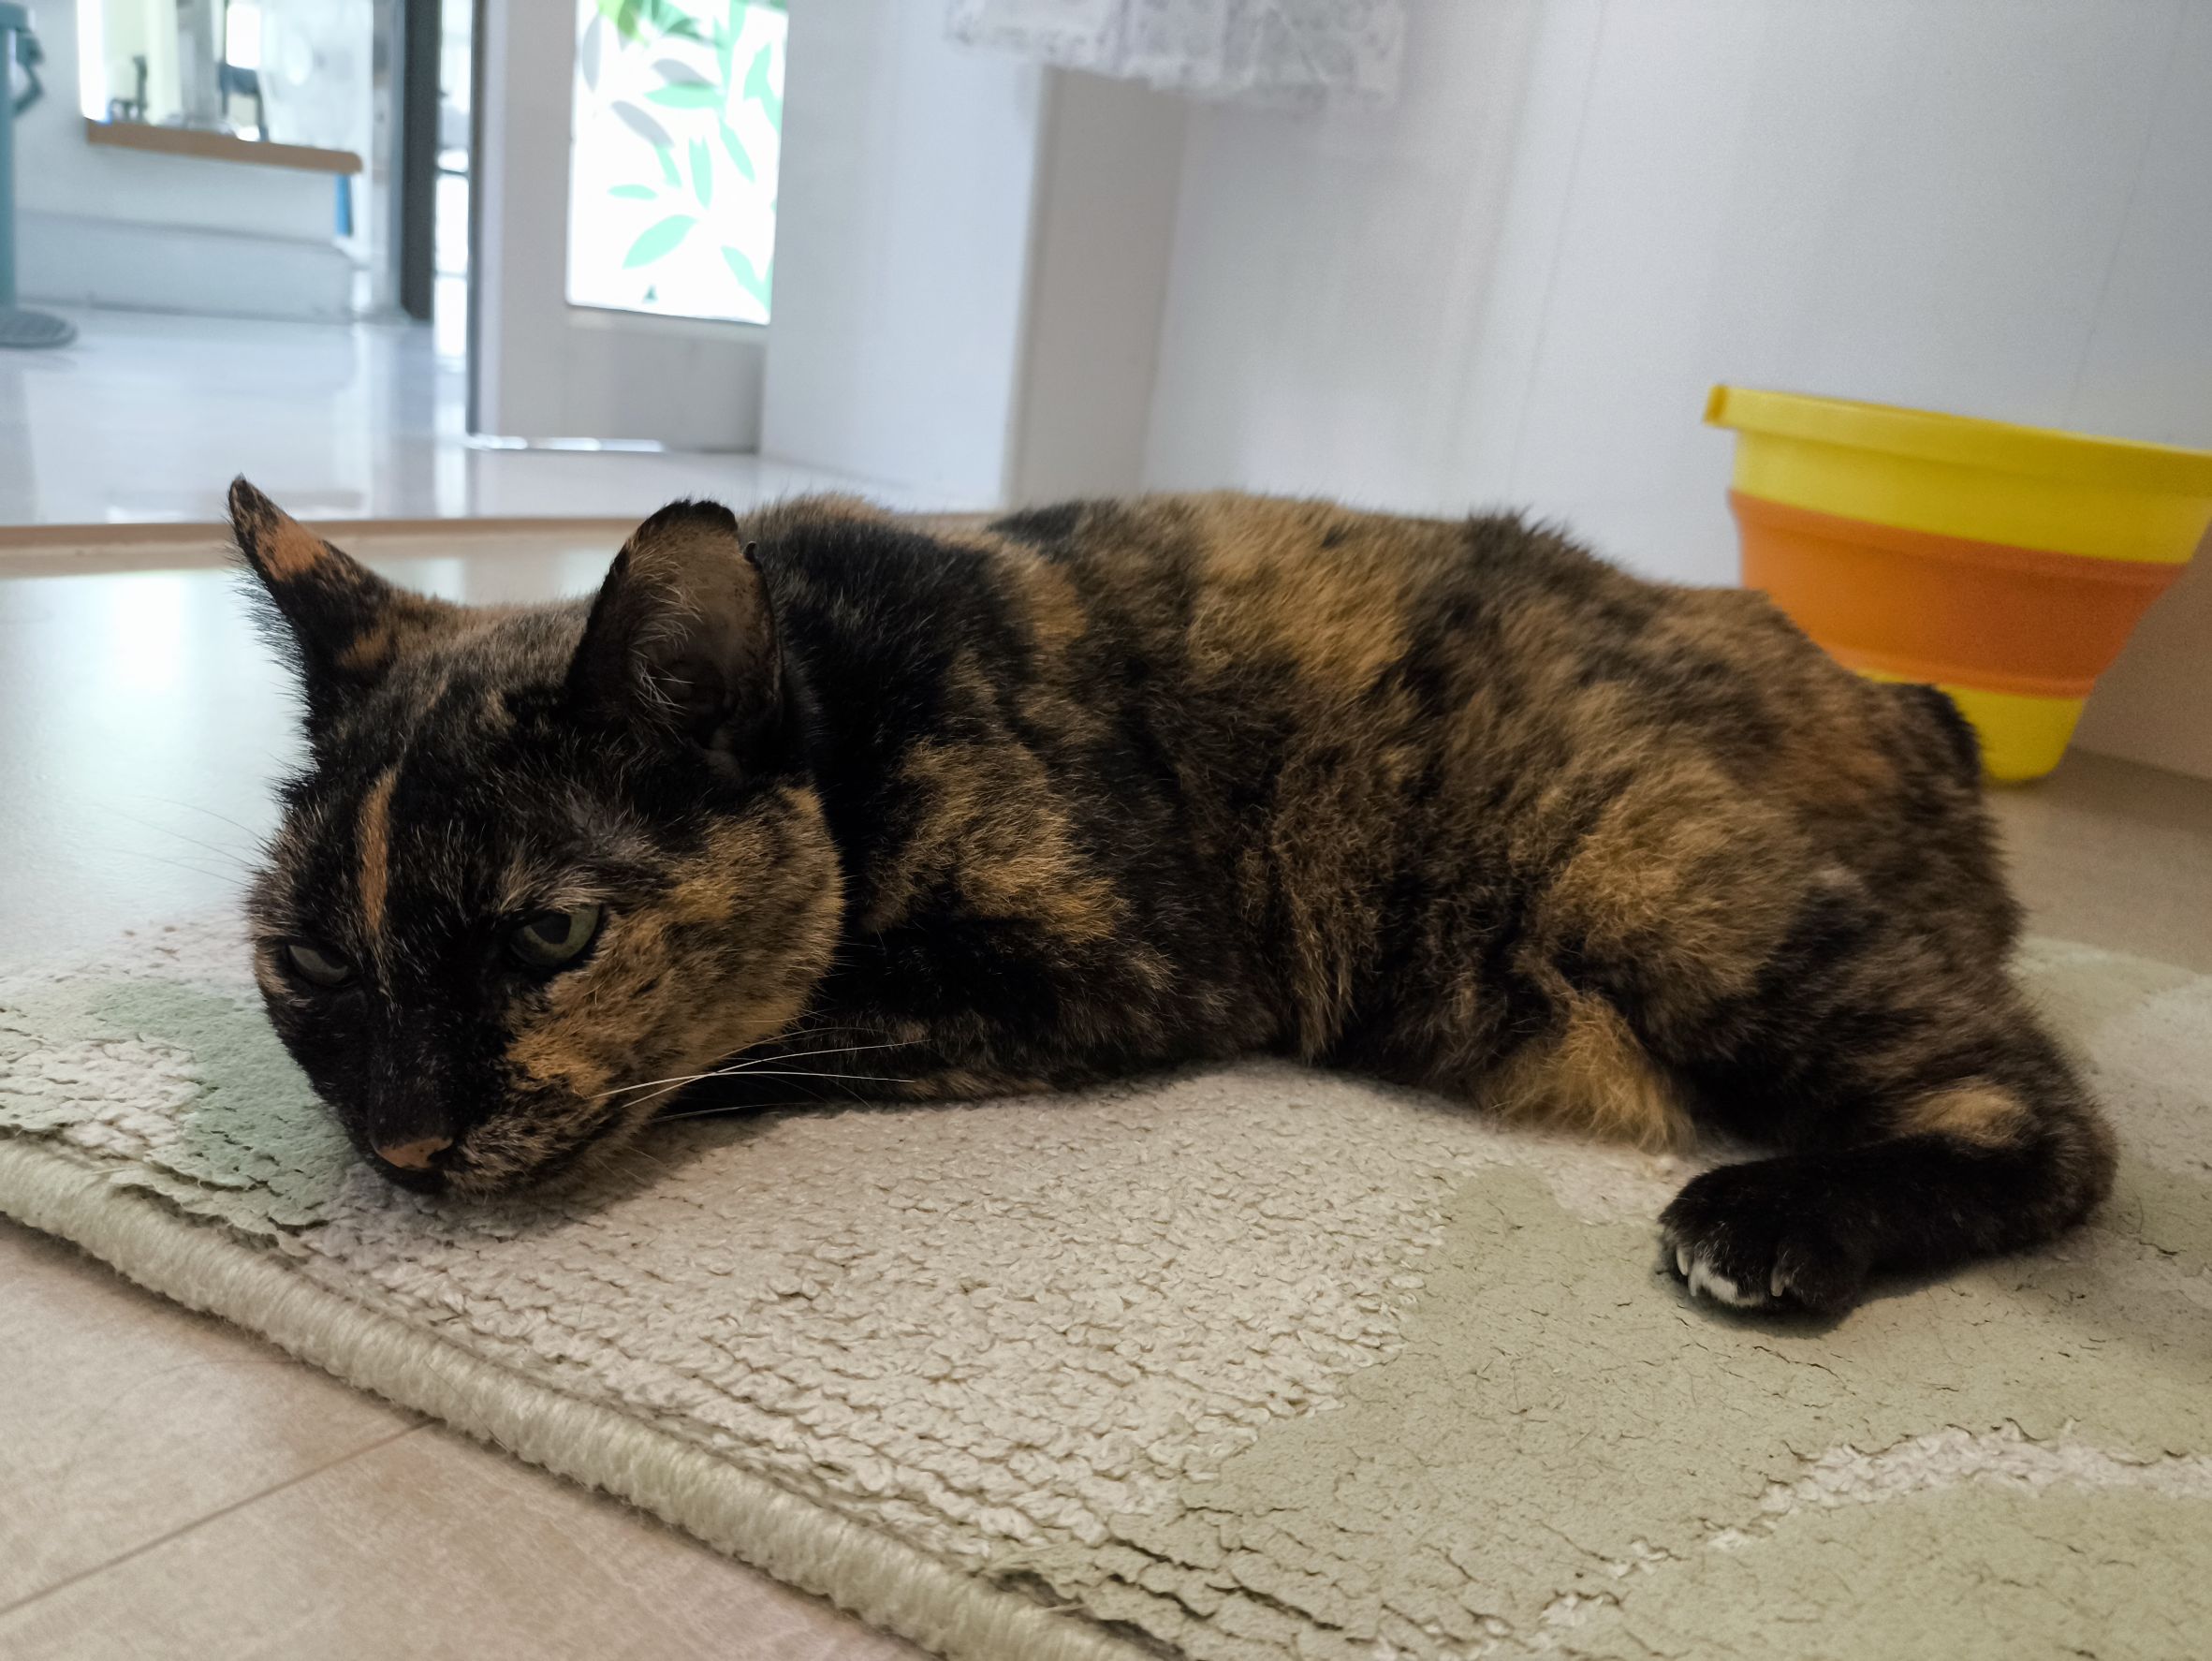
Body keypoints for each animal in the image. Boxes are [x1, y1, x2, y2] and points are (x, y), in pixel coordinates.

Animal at [230, 477, 2113, 1313]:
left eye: (551, 935)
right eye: (309, 954)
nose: (401, 1138)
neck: (846, 702)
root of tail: (1902, 709)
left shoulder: (1099, 964)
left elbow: (781, 1030)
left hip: (1654, 867)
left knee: (2051, 1120)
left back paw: (1766, 1224)